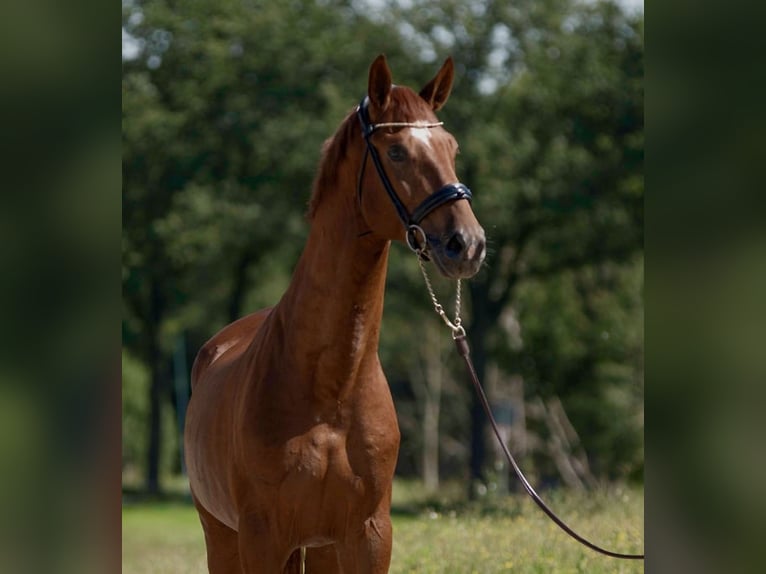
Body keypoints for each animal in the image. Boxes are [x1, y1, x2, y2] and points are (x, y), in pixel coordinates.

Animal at [184, 51, 488, 572]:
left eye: (452, 147)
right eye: (396, 152)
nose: (466, 244)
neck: (331, 392)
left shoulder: (368, 536)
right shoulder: (262, 539)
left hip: (320, 548)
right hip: (222, 536)